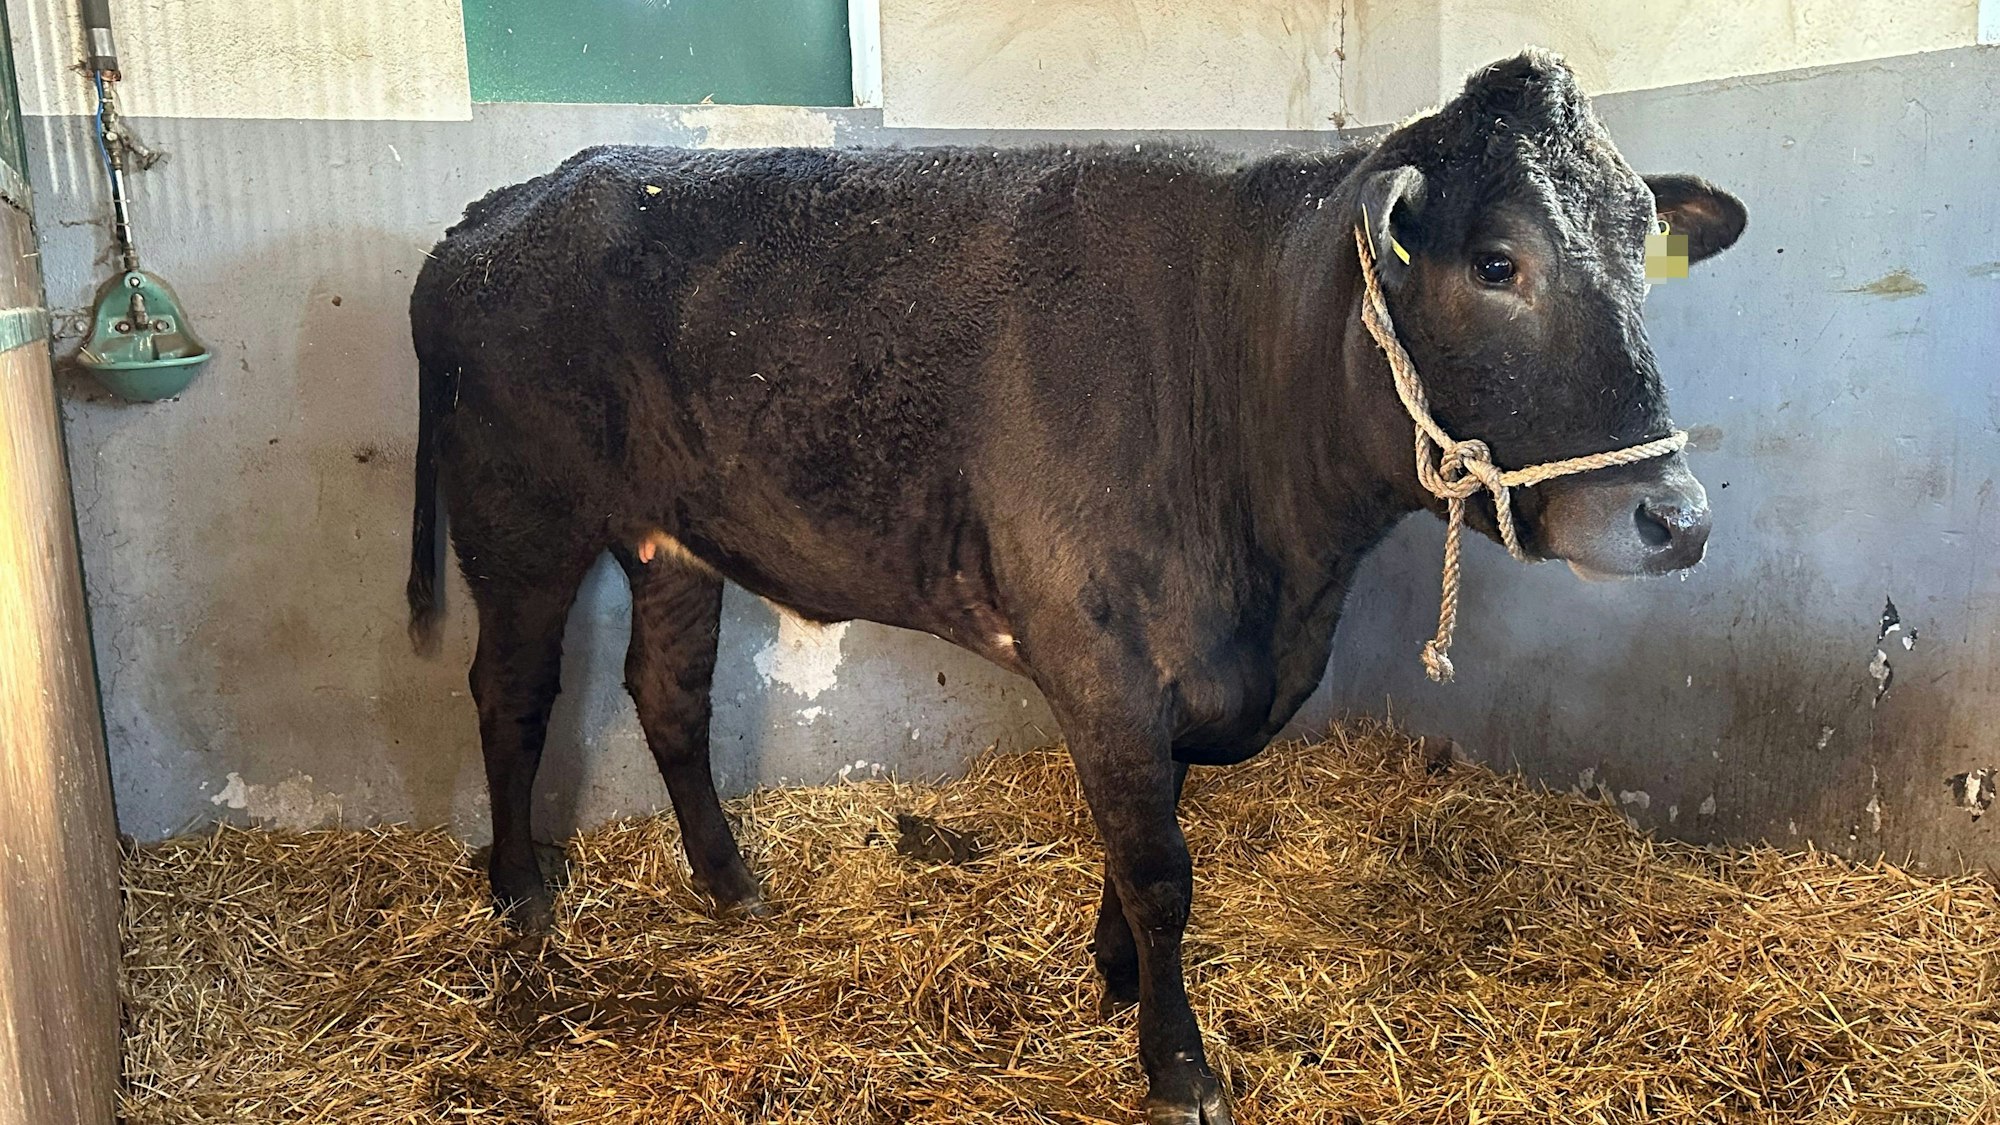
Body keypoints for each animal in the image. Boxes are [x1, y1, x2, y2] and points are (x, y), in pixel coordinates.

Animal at [406, 50, 1745, 1124]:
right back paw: (519, 893)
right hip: (516, 519)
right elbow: (1158, 867)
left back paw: (731, 884)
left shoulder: (1181, 675)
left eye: (1640, 254)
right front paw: (1175, 1061)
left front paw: (1112, 977)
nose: (1673, 518)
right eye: (1495, 261)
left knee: (669, 693)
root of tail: (499, 208)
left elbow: (1141, 831)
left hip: (670, 540)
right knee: (511, 691)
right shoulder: (1100, 656)